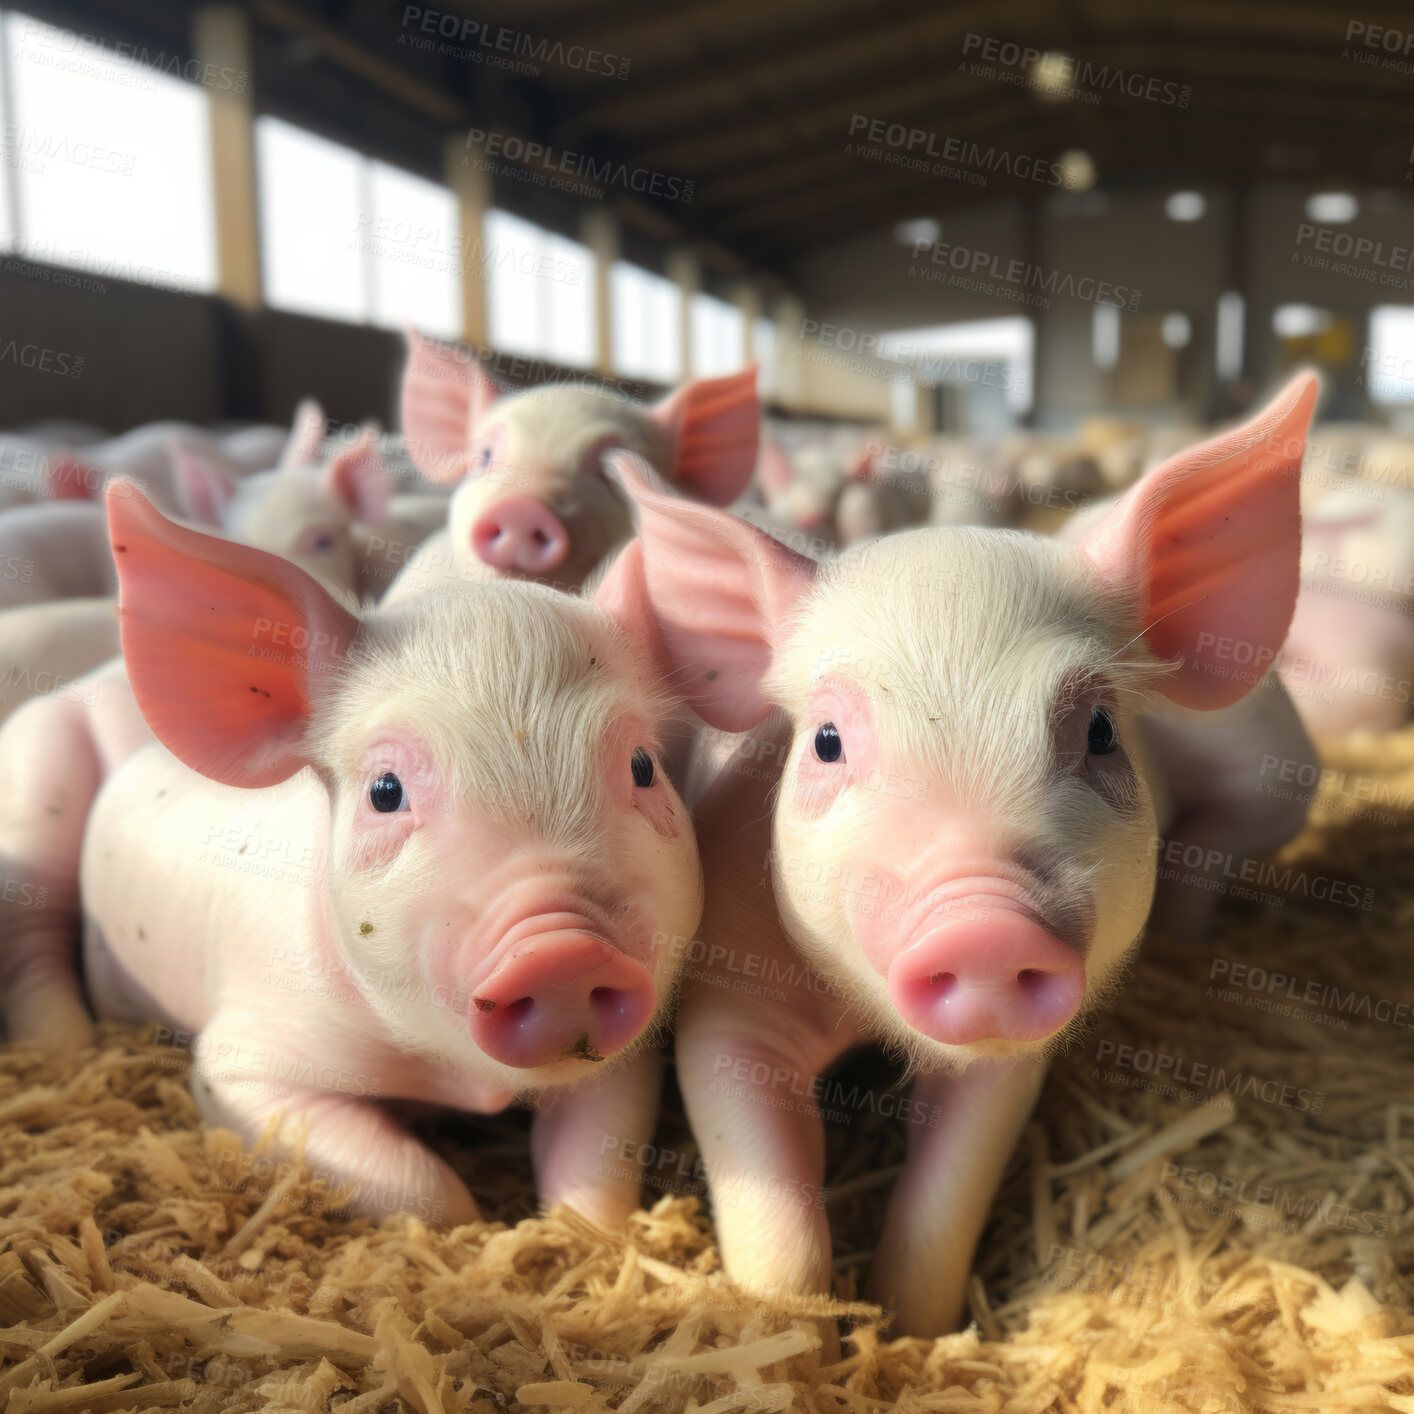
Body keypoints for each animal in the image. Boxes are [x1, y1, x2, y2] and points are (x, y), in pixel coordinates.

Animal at [0, 483, 703, 1228]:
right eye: (384, 791)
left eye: (643, 767)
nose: (563, 949)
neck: (459, 1082)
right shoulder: (247, 1058)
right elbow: (420, 1190)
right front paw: (473, 1224)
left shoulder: (634, 1055)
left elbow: (595, 1158)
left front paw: (574, 1231)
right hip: (35, 785)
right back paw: (64, 1045)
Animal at [608, 373, 1320, 1336]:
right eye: (827, 741)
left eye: (1101, 730)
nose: (983, 926)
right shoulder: (730, 990)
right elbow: (773, 1208)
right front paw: (792, 1334)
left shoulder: (1015, 1055)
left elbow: (947, 1196)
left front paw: (914, 1330)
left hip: (1274, 773)